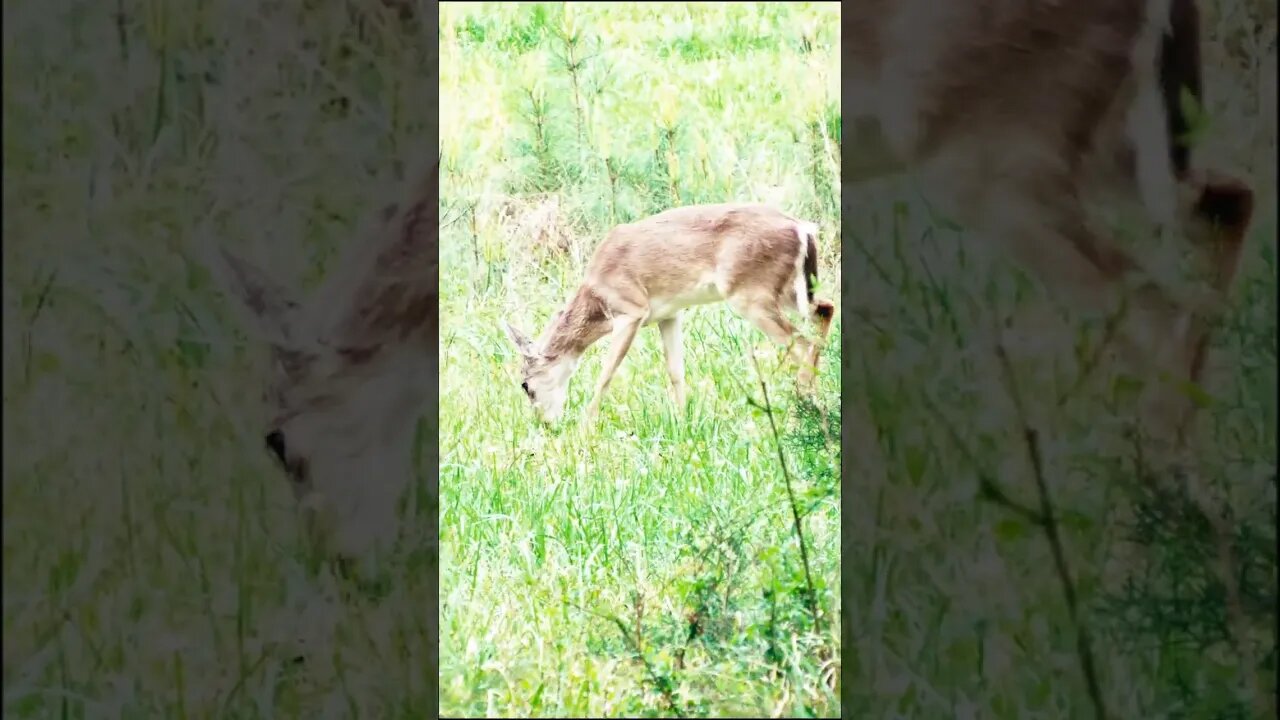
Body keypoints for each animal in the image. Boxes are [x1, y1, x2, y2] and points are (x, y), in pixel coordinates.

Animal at [499, 202, 839, 422]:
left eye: (525, 385)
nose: (545, 425)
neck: (596, 295)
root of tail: (803, 228)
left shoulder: (632, 309)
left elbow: (606, 374)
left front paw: (587, 424)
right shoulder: (669, 314)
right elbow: (675, 371)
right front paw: (682, 419)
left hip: (751, 293)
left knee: (802, 342)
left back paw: (803, 404)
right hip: (789, 291)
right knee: (825, 309)